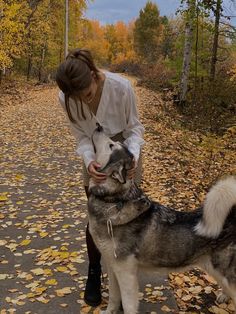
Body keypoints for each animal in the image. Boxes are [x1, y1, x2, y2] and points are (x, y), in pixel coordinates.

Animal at [87, 124, 236, 312]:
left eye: (111, 145)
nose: (98, 126)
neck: (113, 200)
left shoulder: (125, 272)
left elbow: (128, 305)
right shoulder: (112, 267)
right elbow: (114, 297)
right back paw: (224, 295)